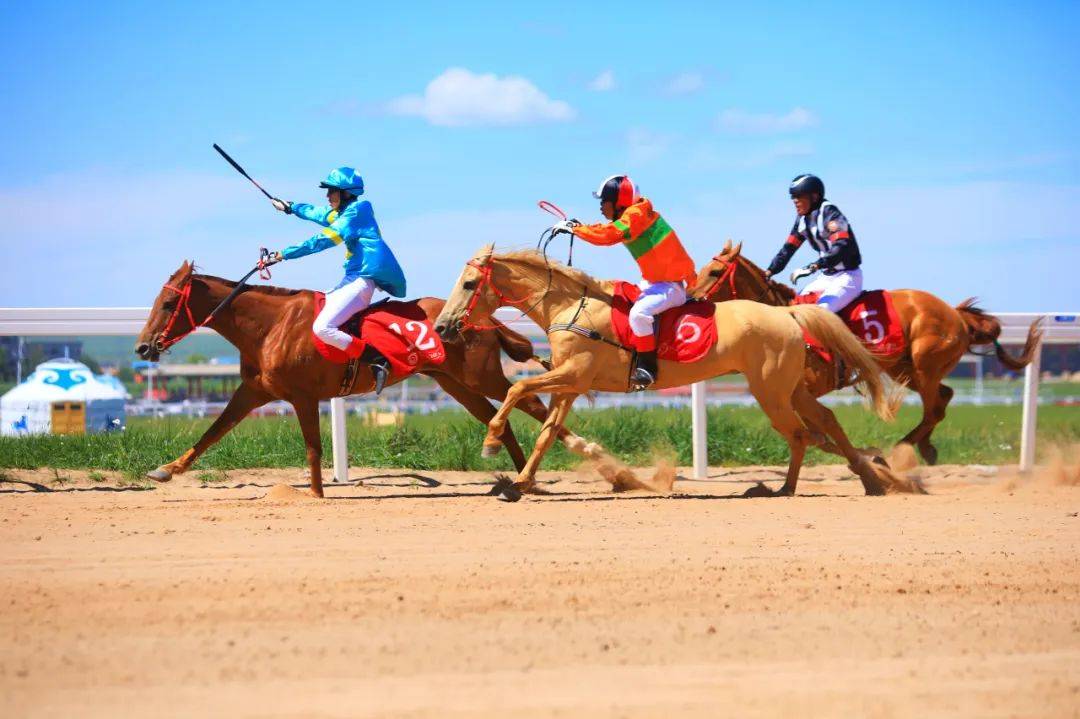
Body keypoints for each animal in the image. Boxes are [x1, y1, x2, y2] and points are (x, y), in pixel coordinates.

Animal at [133, 260, 570, 496]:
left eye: (169, 303)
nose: (142, 347)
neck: (272, 325)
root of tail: (478, 316)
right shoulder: (254, 391)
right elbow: (213, 431)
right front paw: (166, 469)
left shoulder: (303, 396)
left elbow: (312, 446)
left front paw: (315, 492)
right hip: (455, 384)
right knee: (502, 419)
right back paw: (522, 477)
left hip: (479, 376)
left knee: (530, 400)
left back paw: (552, 465)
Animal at [686, 240, 1041, 464]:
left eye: (714, 272)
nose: (690, 299)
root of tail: (956, 313)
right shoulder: (796, 393)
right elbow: (817, 434)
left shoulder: (802, 390)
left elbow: (817, 432)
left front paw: (868, 457)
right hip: (904, 369)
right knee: (944, 397)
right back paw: (924, 449)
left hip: (924, 364)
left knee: (933, 409)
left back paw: (901, 449)